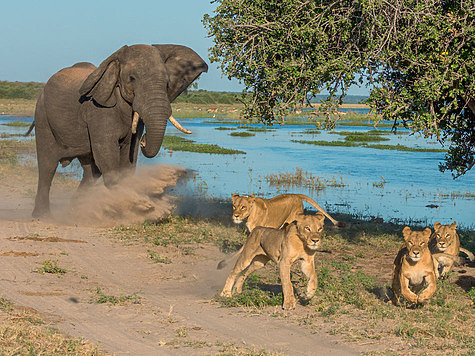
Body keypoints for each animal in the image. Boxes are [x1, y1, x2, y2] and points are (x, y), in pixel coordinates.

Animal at [30, 44, 207, 217]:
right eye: (132, 78)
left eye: (167, 83)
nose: (144, 141)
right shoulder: (98, 109)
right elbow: (106, 152)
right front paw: (129, 206)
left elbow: (129, 154)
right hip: (43, 116)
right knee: (48, 166)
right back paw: (42, 215)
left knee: (91, 171)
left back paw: (75, 211)